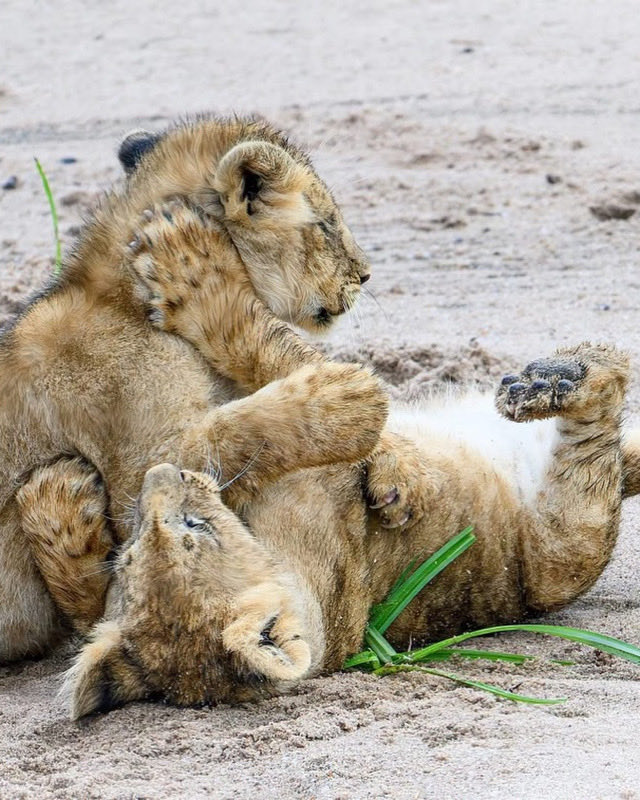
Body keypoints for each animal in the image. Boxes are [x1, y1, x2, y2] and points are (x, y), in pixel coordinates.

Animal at [0, 115, 393, 662]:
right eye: (326, 224)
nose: (365, 275)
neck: (125, 297)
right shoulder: (132, 478)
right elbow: (232, 435)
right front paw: (346, 401)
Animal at [50, 341, 637, 719]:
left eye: (128, 557)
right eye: (196, 527)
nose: (159, 479)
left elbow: (190, 443)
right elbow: (203, 438)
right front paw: (342, 400)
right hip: (564, 547)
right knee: (604, 410)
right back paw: (558, 378)